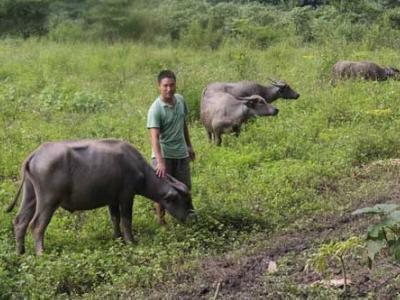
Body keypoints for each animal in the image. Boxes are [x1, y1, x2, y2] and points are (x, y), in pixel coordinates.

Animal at [6, 139, 194, 254]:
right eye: (185, 200)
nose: (193, 217)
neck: (137, 167)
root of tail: (35, 154)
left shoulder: (112, 200)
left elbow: (115, 219)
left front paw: (118, 239)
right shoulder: (127, 196)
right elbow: (126, 220)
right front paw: (131, 241)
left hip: (30, 195)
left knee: (20, 221)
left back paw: (20, 252)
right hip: (48, 201)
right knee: (37, 225)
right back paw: (41, 253)